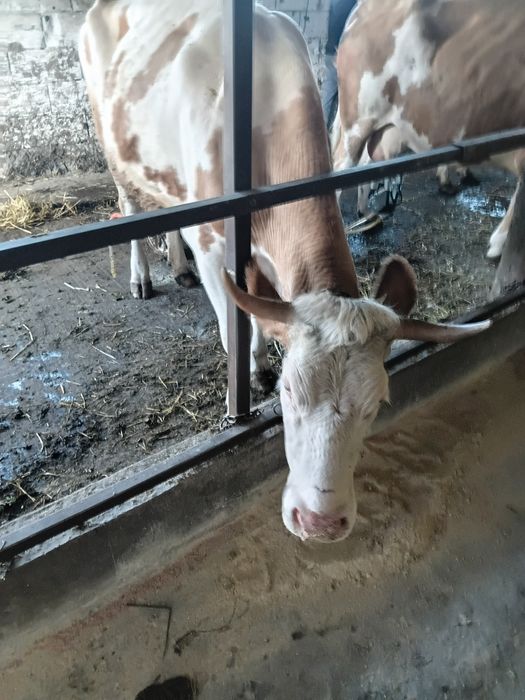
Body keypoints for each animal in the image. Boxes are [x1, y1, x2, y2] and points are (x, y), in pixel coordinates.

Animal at [80, 0, 489, 542]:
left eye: (378, 403)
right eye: (288, 392)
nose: (320, 522)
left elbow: (264, 311)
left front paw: (258, 355)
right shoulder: (214, 242)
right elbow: (237, 324)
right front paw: (250, 372)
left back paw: (177, 265)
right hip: (110, 137)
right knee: (129, 203)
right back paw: (143, 276)